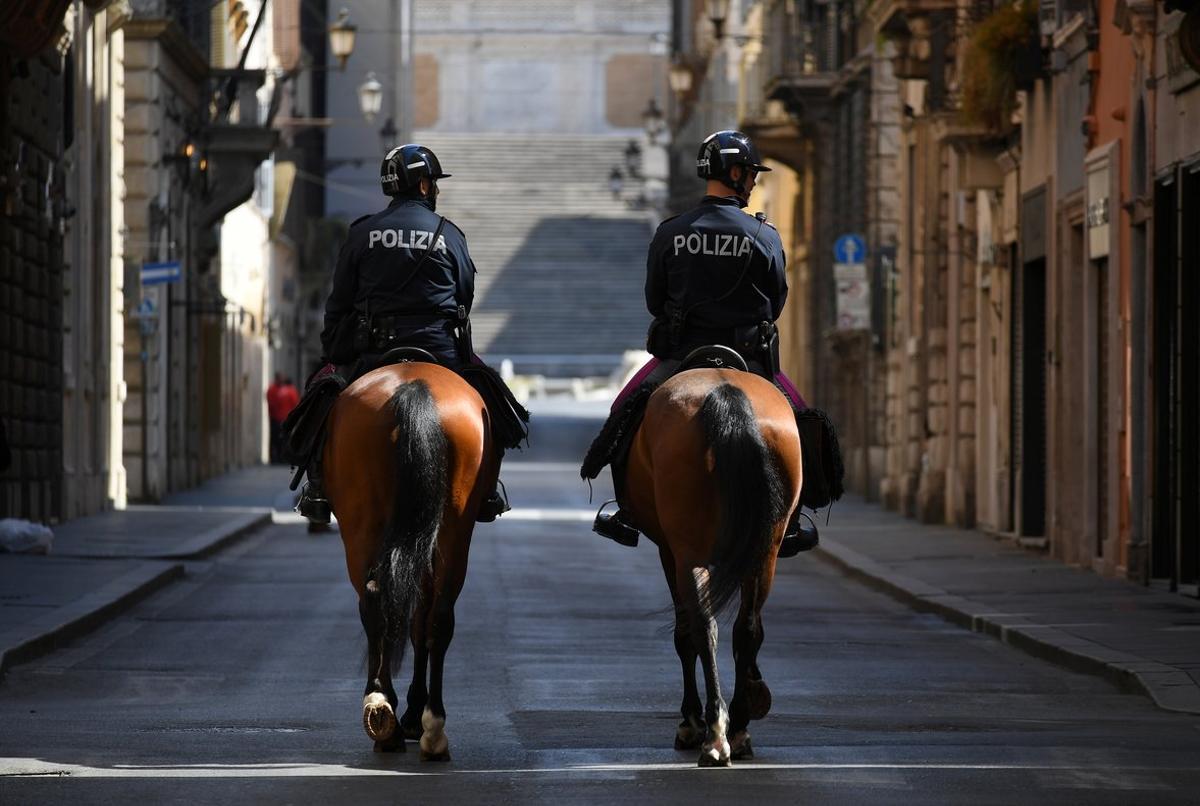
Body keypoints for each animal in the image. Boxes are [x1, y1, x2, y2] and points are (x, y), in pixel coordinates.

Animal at [319, 362, 496, 758]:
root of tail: (415, 385)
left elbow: (415, 623)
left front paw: (410, 711)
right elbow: (420, 624)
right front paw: (414, 712)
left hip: (365, 524)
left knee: (378, 599)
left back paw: (388, 711)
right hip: (451, 526)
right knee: (435, 615)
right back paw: (423, 724)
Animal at [624, 369, 801, 762]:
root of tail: (725, 390)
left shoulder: (668, 551)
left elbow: (684, 634)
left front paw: (690, 722)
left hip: (688, 549)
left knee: (701, 626)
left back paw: (712, 733)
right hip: (765, 551)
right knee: (747, 627)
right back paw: (736, 727)